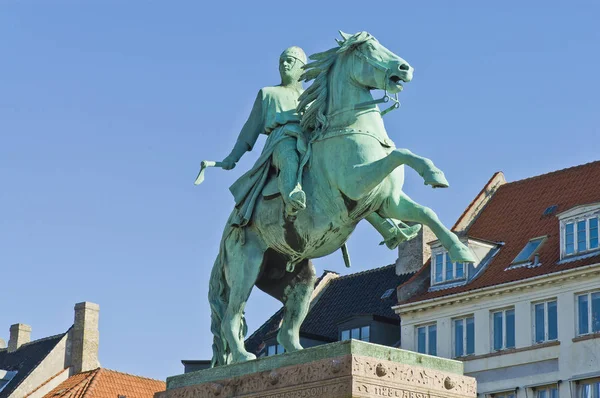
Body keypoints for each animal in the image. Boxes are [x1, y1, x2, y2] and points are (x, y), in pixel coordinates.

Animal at [209, 31, 476, 366]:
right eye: (368, 48)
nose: (405, 69)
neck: (353, 129)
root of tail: (226, 233)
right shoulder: (358, 182)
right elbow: (400, 154)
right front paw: (432, 172)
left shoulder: (387, 201)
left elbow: (427, 212)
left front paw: (461, 251)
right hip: (246, 266)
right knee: (231, 316)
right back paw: (244, 356)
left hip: (296, 278)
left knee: (285, 329)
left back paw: (299, 352)